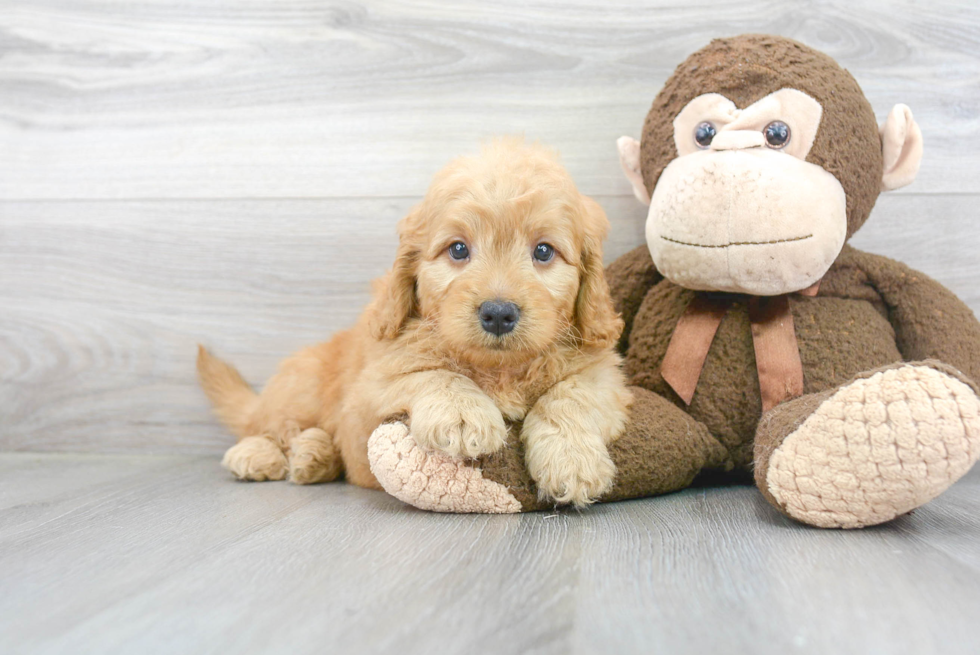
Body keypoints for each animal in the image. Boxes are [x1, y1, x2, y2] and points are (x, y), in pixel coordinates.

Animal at [195, 138, 632, 508]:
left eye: (543, 251)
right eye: (458, 249)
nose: (498, 313)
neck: (499, 370)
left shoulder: (605, 375)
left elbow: (571, 395)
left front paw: (572, 460)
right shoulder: (366, 394)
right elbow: (428, 372)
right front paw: (462, 413)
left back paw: (313, 455)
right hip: (299, 385)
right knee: (268, 425)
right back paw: (258, 454)